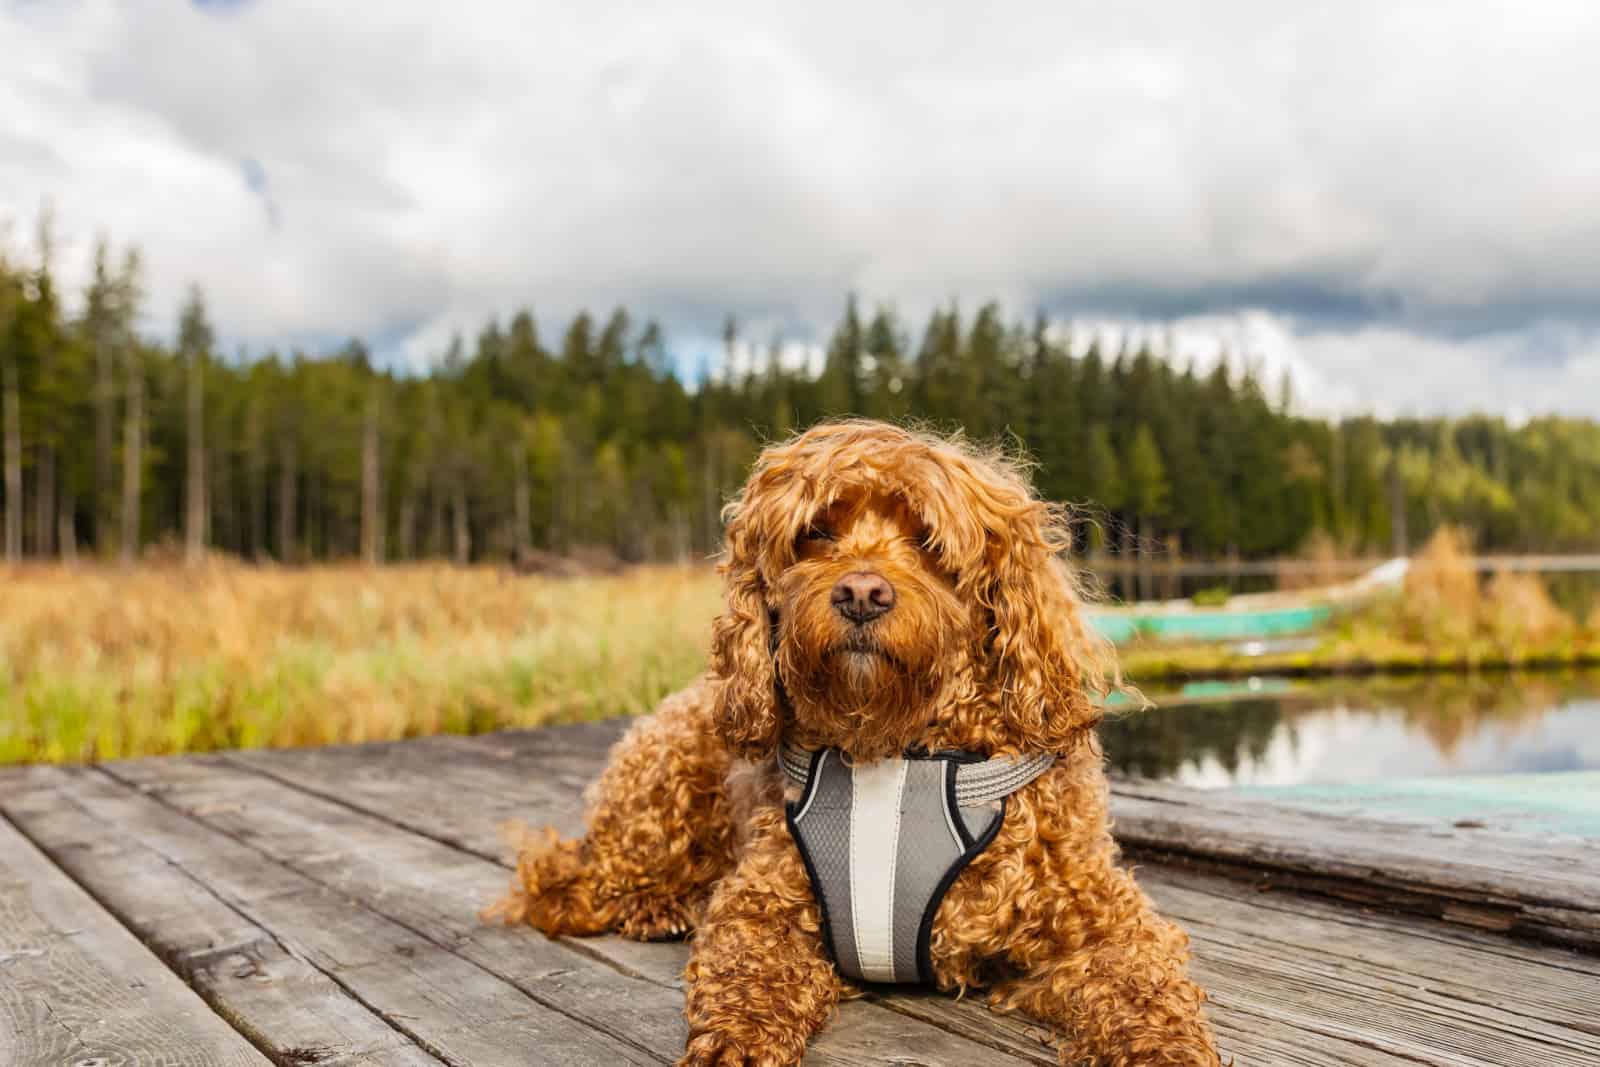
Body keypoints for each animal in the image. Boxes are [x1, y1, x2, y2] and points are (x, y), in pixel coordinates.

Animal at [492, 422, 1216, 1062]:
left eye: (927, 538)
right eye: (816, 533)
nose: (862, 592)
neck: (896, 754)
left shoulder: (1102, 917)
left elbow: (1146, 991)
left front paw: (1166, 1049)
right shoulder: (763, 905)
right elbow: (743, 979)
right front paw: (733, 1045)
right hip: (663, 784)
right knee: (574, 880)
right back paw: (655, 904)